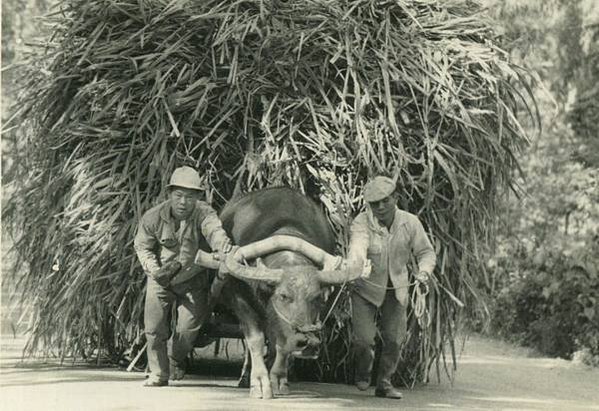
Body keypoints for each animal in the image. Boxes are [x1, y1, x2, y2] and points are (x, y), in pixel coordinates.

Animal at [204, 189, 360, 400]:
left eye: (317, 298)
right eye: (283, 296)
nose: (308, 342)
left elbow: (280, 345)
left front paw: (278, 379)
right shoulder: (240, 300)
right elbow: (255, 339)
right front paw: (260, 383)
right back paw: (245, 378)